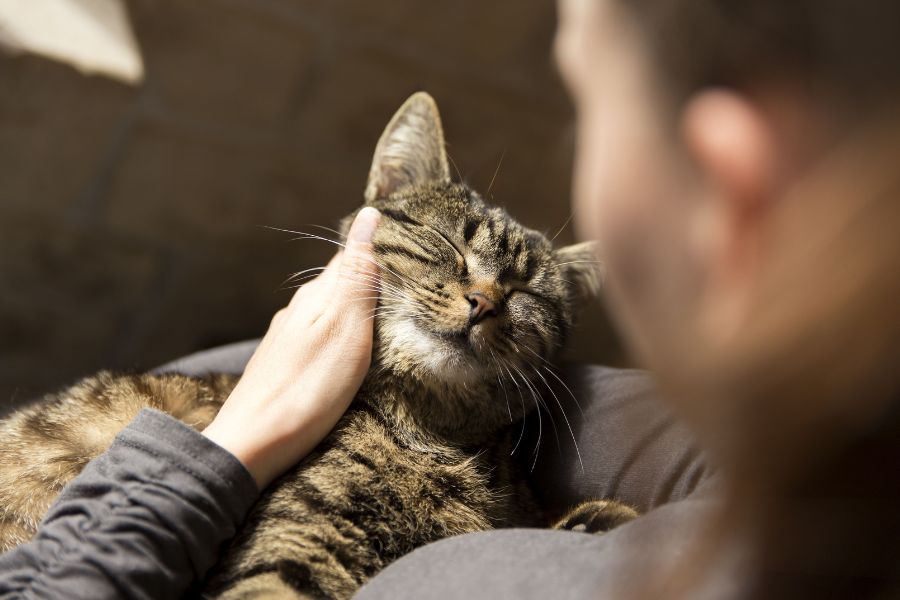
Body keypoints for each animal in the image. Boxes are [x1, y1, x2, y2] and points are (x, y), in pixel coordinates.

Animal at [0, 91, 636, 596]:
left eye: (526, 291)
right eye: (448, 243)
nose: (483, 302)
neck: (432, 434)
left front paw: (595, 521)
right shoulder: (294, 542)